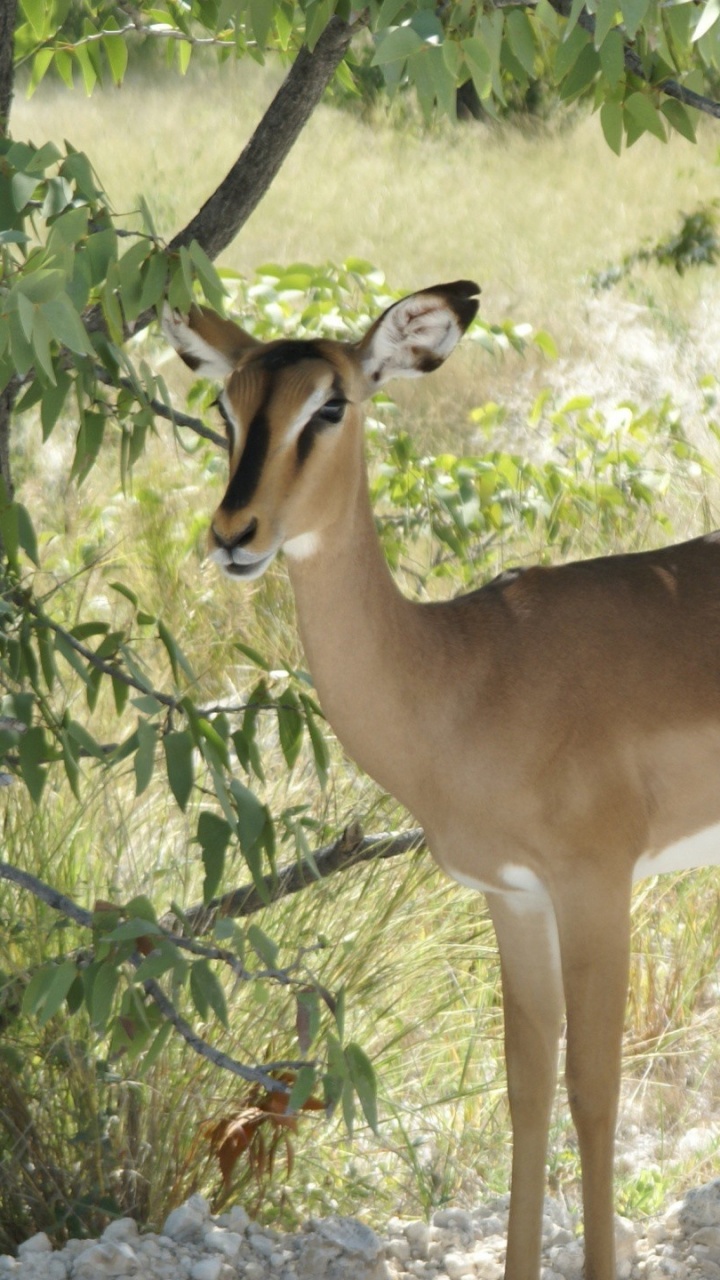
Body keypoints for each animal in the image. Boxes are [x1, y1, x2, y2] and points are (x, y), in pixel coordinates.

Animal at [164, 280, 720, 1280]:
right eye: (227, 407)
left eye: (331, 404)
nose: (234, 535)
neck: (468, 674)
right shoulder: (514, 897)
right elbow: (528, 1087)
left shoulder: (595, 885)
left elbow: (595, 1089)